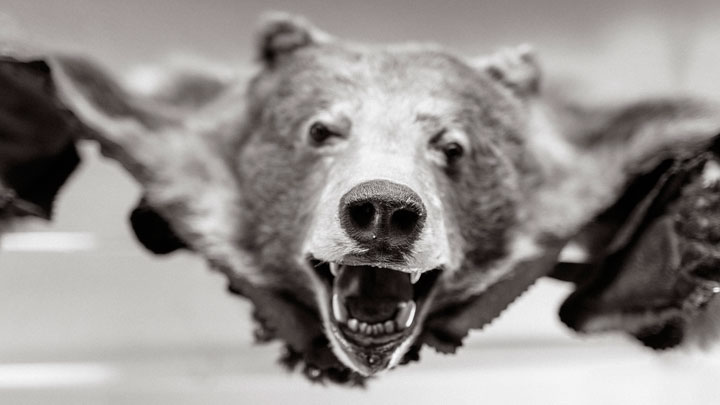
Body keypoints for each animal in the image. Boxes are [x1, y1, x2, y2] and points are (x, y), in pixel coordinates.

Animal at [2, 12, 720, 385]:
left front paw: (699, 229)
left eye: (452, 145)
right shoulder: (160, 142)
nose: (383, 209)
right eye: (321, 129)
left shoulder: (598, 165)